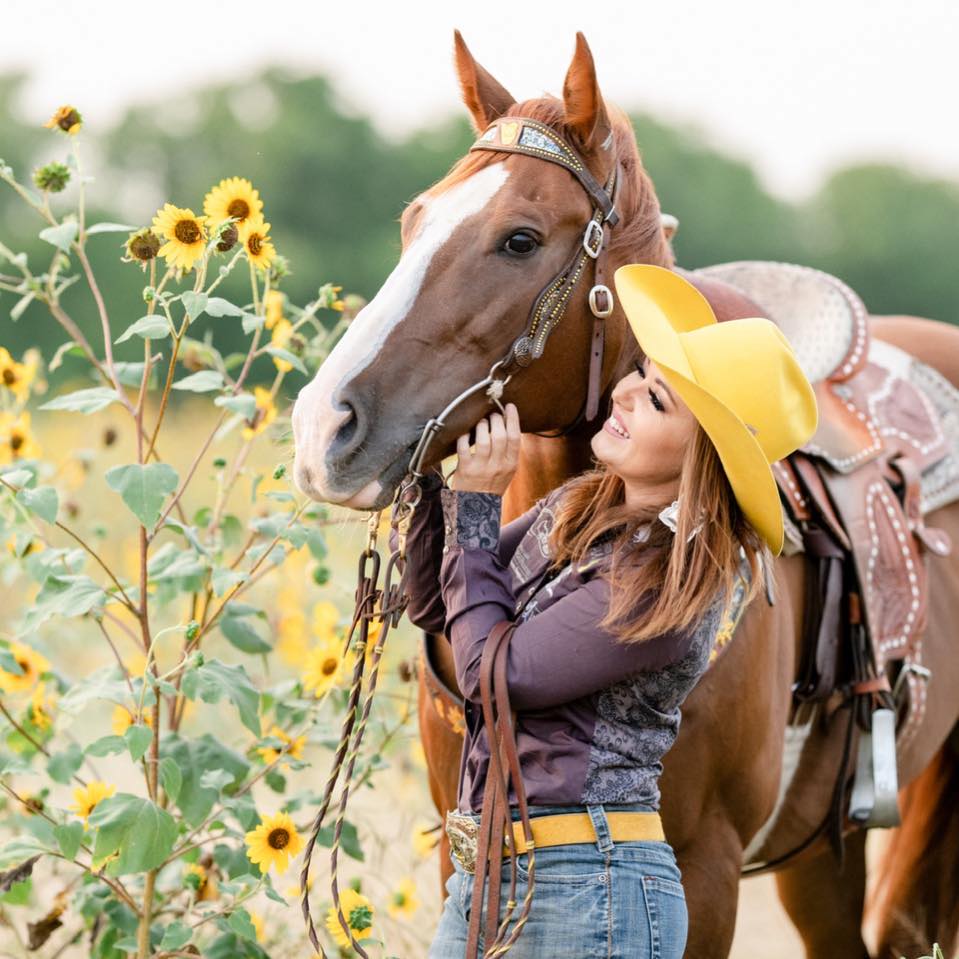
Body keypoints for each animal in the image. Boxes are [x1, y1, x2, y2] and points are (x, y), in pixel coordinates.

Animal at [290, 31, 959, 959]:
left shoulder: (705, 871)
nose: (323, 426)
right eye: (413, 221)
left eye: (520, 239)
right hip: (822, 852)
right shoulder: (456, 845)